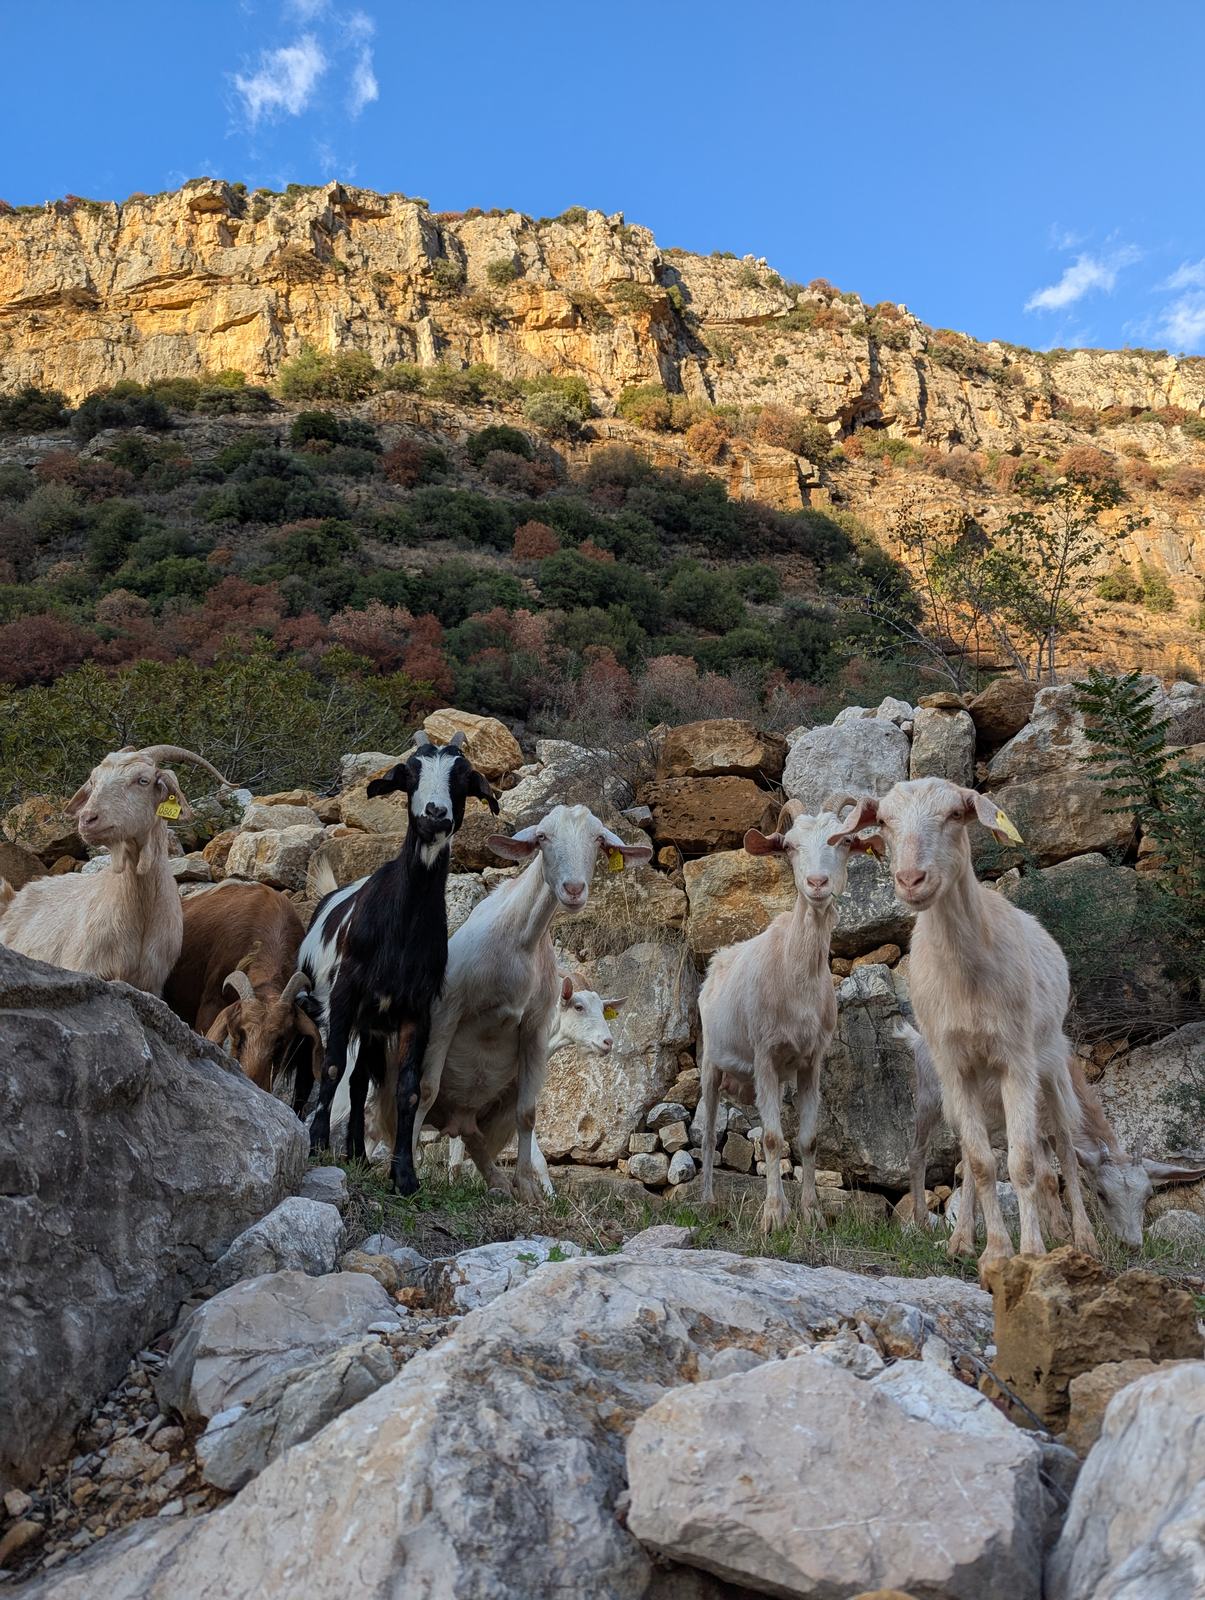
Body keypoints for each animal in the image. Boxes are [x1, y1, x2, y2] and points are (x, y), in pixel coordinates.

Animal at [299, 732, 498, 1193]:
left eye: (464, 777)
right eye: (410, 772)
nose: (435, 814)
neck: (401, 926)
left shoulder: (416, 1009)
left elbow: (407, 1089)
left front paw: (404, 1175)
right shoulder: (346, 994)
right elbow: (331, 1066)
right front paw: (316, 1145)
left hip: (373, 1025)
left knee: (360, 1082)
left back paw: (356, 1152)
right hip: (335, 1010)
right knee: (342, 1072)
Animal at [698, 800, 877, 1234]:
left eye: (844, 841)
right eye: (791, 846)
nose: (817, 882)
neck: (795, 977)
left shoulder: (811, 1061)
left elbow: (808, 1140)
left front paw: (812, 1214)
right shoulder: (764, 1055)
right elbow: (772, 1139)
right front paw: (774, 1216)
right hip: (711, 1063)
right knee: (708, 1135)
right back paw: (707, 1201)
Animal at [828, 777, 1098, 1280]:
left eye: (956, 814)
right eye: (884, 822)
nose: (910, 880)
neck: (967, 975)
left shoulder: (1016, 1061)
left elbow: (1024, 1164)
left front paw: (1031, 1252)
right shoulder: (956, 1068)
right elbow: (980, 1163)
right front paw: (994, 1251)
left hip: (1051, 1068)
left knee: (1065, 1149)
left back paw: (1082, 1237)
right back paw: (966, 1240)